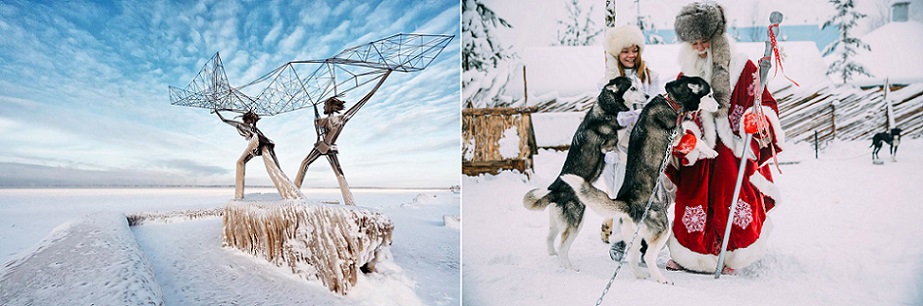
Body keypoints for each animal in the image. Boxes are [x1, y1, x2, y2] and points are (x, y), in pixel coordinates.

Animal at [524, 77, 648, 270]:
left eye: (639, 86)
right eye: (633, 88)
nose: (648, 95)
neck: (610, 108)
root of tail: (554, 190)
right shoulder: (610, 146)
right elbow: (624, 153)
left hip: (556, 223)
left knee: (550, 239)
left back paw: (554, 256)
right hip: (576, 221)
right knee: (563, 247)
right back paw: (570, 268)